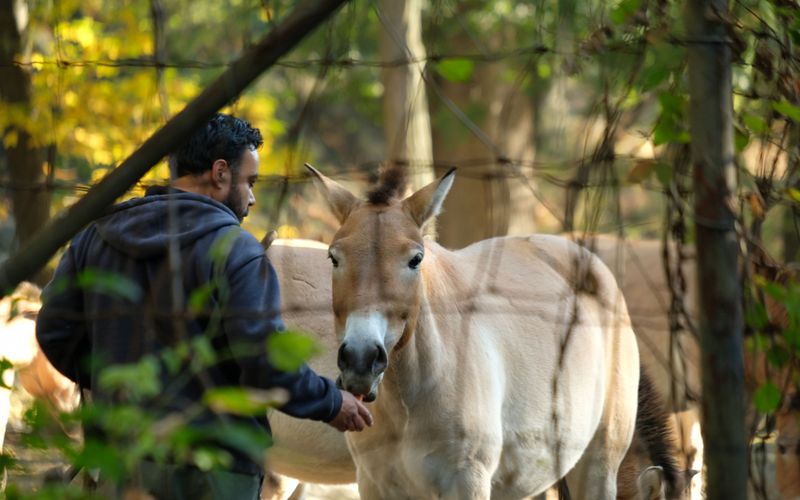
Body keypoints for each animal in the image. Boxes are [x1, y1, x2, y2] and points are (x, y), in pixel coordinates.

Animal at [304, 166, 640, 498]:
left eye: (415, 259)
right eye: (334, 257)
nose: (360, 359)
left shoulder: (466, 481)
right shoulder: (374, 484)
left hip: (598, 468)